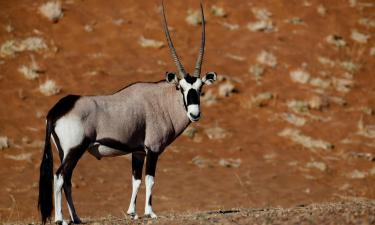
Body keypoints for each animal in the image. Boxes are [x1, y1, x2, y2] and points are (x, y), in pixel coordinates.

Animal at [37, 0, 217, 224]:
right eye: (180, 88)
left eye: (200, 89)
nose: (194, 114)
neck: (162, 101)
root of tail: (57, 110)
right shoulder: (152, 149)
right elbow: (150, 180)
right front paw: (150, 212)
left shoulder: (138, 151)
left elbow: (136, 180)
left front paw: (132, 212)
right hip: (74, 149)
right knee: (60, 176)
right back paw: (60, 218)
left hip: (66, 152)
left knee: (67, 179)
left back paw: (76, 218)